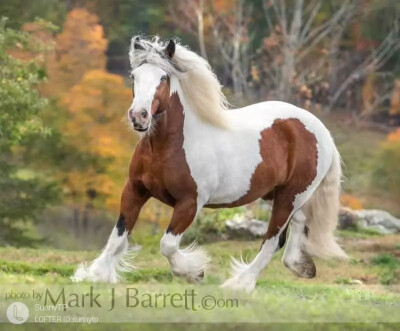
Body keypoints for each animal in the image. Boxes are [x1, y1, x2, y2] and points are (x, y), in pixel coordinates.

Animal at [73, 35, 348, 292]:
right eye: (134, 76)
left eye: (163, 77)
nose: (138, 116)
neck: (165, 148)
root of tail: (322, 131)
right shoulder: (134, 190)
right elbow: (118, 237)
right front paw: (94, 276)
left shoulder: (190, 202)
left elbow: (167, 245)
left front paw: (195, 273)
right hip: (278, 194)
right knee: (299, 224)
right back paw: (301, 266)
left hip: (290, 196)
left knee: (272, 240)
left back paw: (239, 284)